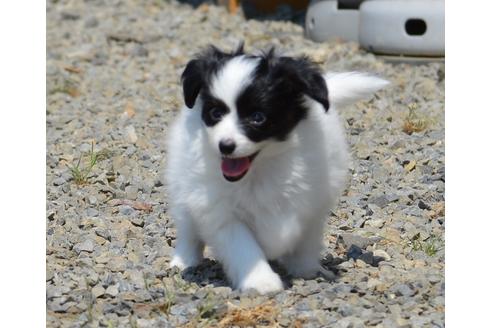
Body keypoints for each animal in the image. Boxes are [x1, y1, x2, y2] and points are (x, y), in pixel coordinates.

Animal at [165, 44, 388, 294]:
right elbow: (242, 246)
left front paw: (306, 269)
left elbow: (303, 239)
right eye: (215, 113)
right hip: (181, 183)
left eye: (257, 117)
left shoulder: (312, 201)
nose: (225, 146)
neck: (259, 171)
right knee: (188, 228)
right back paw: (184, 261)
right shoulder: (219, 210)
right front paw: (261, 281)